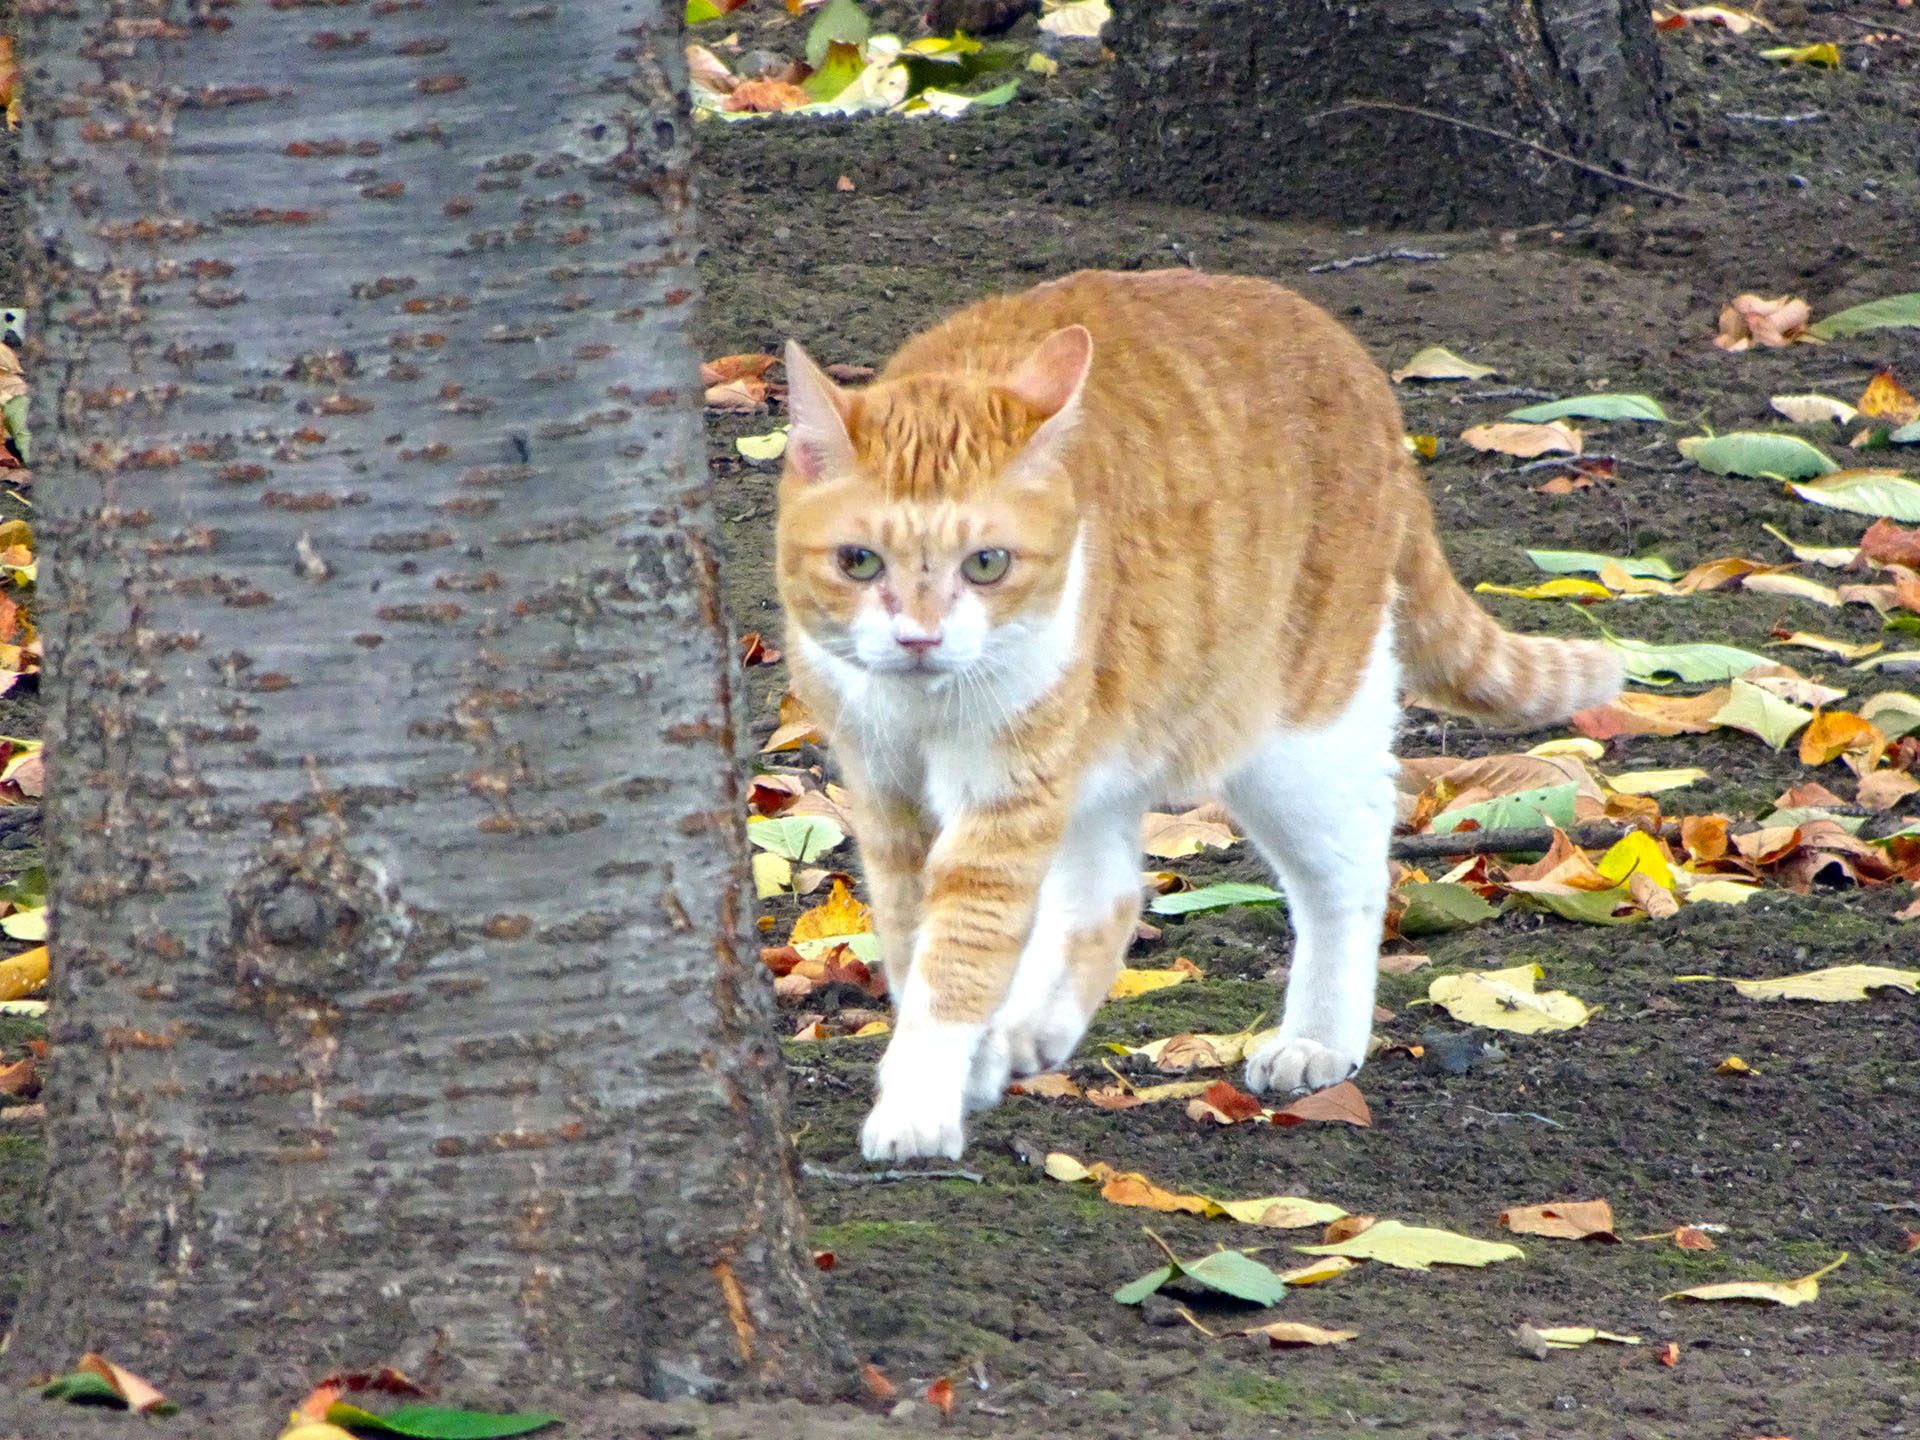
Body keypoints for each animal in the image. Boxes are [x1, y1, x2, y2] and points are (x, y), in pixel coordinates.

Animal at [771, 270, 1612, 1159]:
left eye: (987, 564)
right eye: (859, 562)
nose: (919, 638)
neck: (923, 707)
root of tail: (1347, 354)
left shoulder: (1009, 788)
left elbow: (959, 952)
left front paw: (919, 1103)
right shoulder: (887, 788)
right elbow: (912, 945)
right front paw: (955, 1064)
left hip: (1293, 734)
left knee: (1348, 872)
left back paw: (1319, 1036)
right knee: (1109, 892)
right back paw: (1032, 1028)